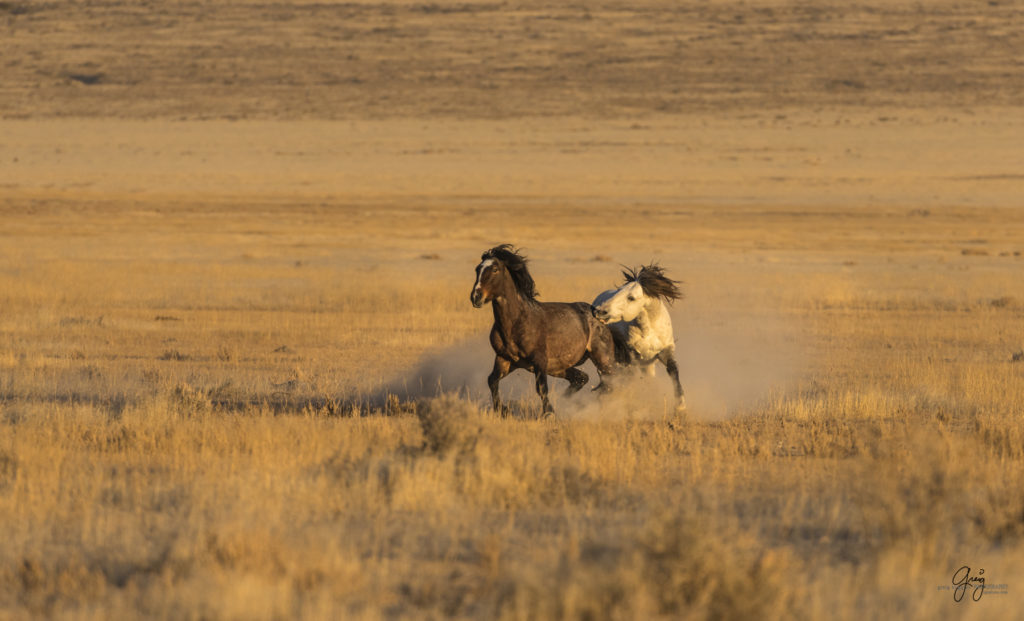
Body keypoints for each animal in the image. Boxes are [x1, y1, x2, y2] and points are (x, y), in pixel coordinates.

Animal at [468, 245, 614, 416]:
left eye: (495, 269)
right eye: (477, 269)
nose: (476, 297)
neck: (516, 323)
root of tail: (599, 317)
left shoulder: (539, 361)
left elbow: (542, 389)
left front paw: (548, 414)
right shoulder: (504, 359)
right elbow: (492, 381)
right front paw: (502, 410)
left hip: (603, 360)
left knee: (609, 384)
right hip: (558, 368)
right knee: (581, 379)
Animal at [589, 264, 684, 411]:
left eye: (631, 298)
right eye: (619, 291)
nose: (599, 311)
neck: (649, 332)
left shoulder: (665, 352)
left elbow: (674, 372)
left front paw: (680, 408)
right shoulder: (631, 356)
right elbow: (630, 379)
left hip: (647, 364)